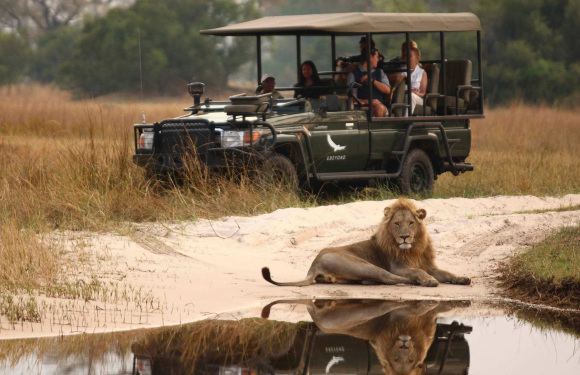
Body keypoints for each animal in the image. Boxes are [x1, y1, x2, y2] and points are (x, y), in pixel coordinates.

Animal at [262, 197, 472, 288]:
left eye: (411, 223)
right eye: (397, 224)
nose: (404, 237)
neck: (414, 249)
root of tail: (314, 264)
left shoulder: (430, 265)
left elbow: (447, 273)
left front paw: (462, 278)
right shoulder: (400, 267)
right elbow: (417, 272)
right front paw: (428, 280)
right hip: (363, 265)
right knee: (389, 277)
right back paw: (411, 282)